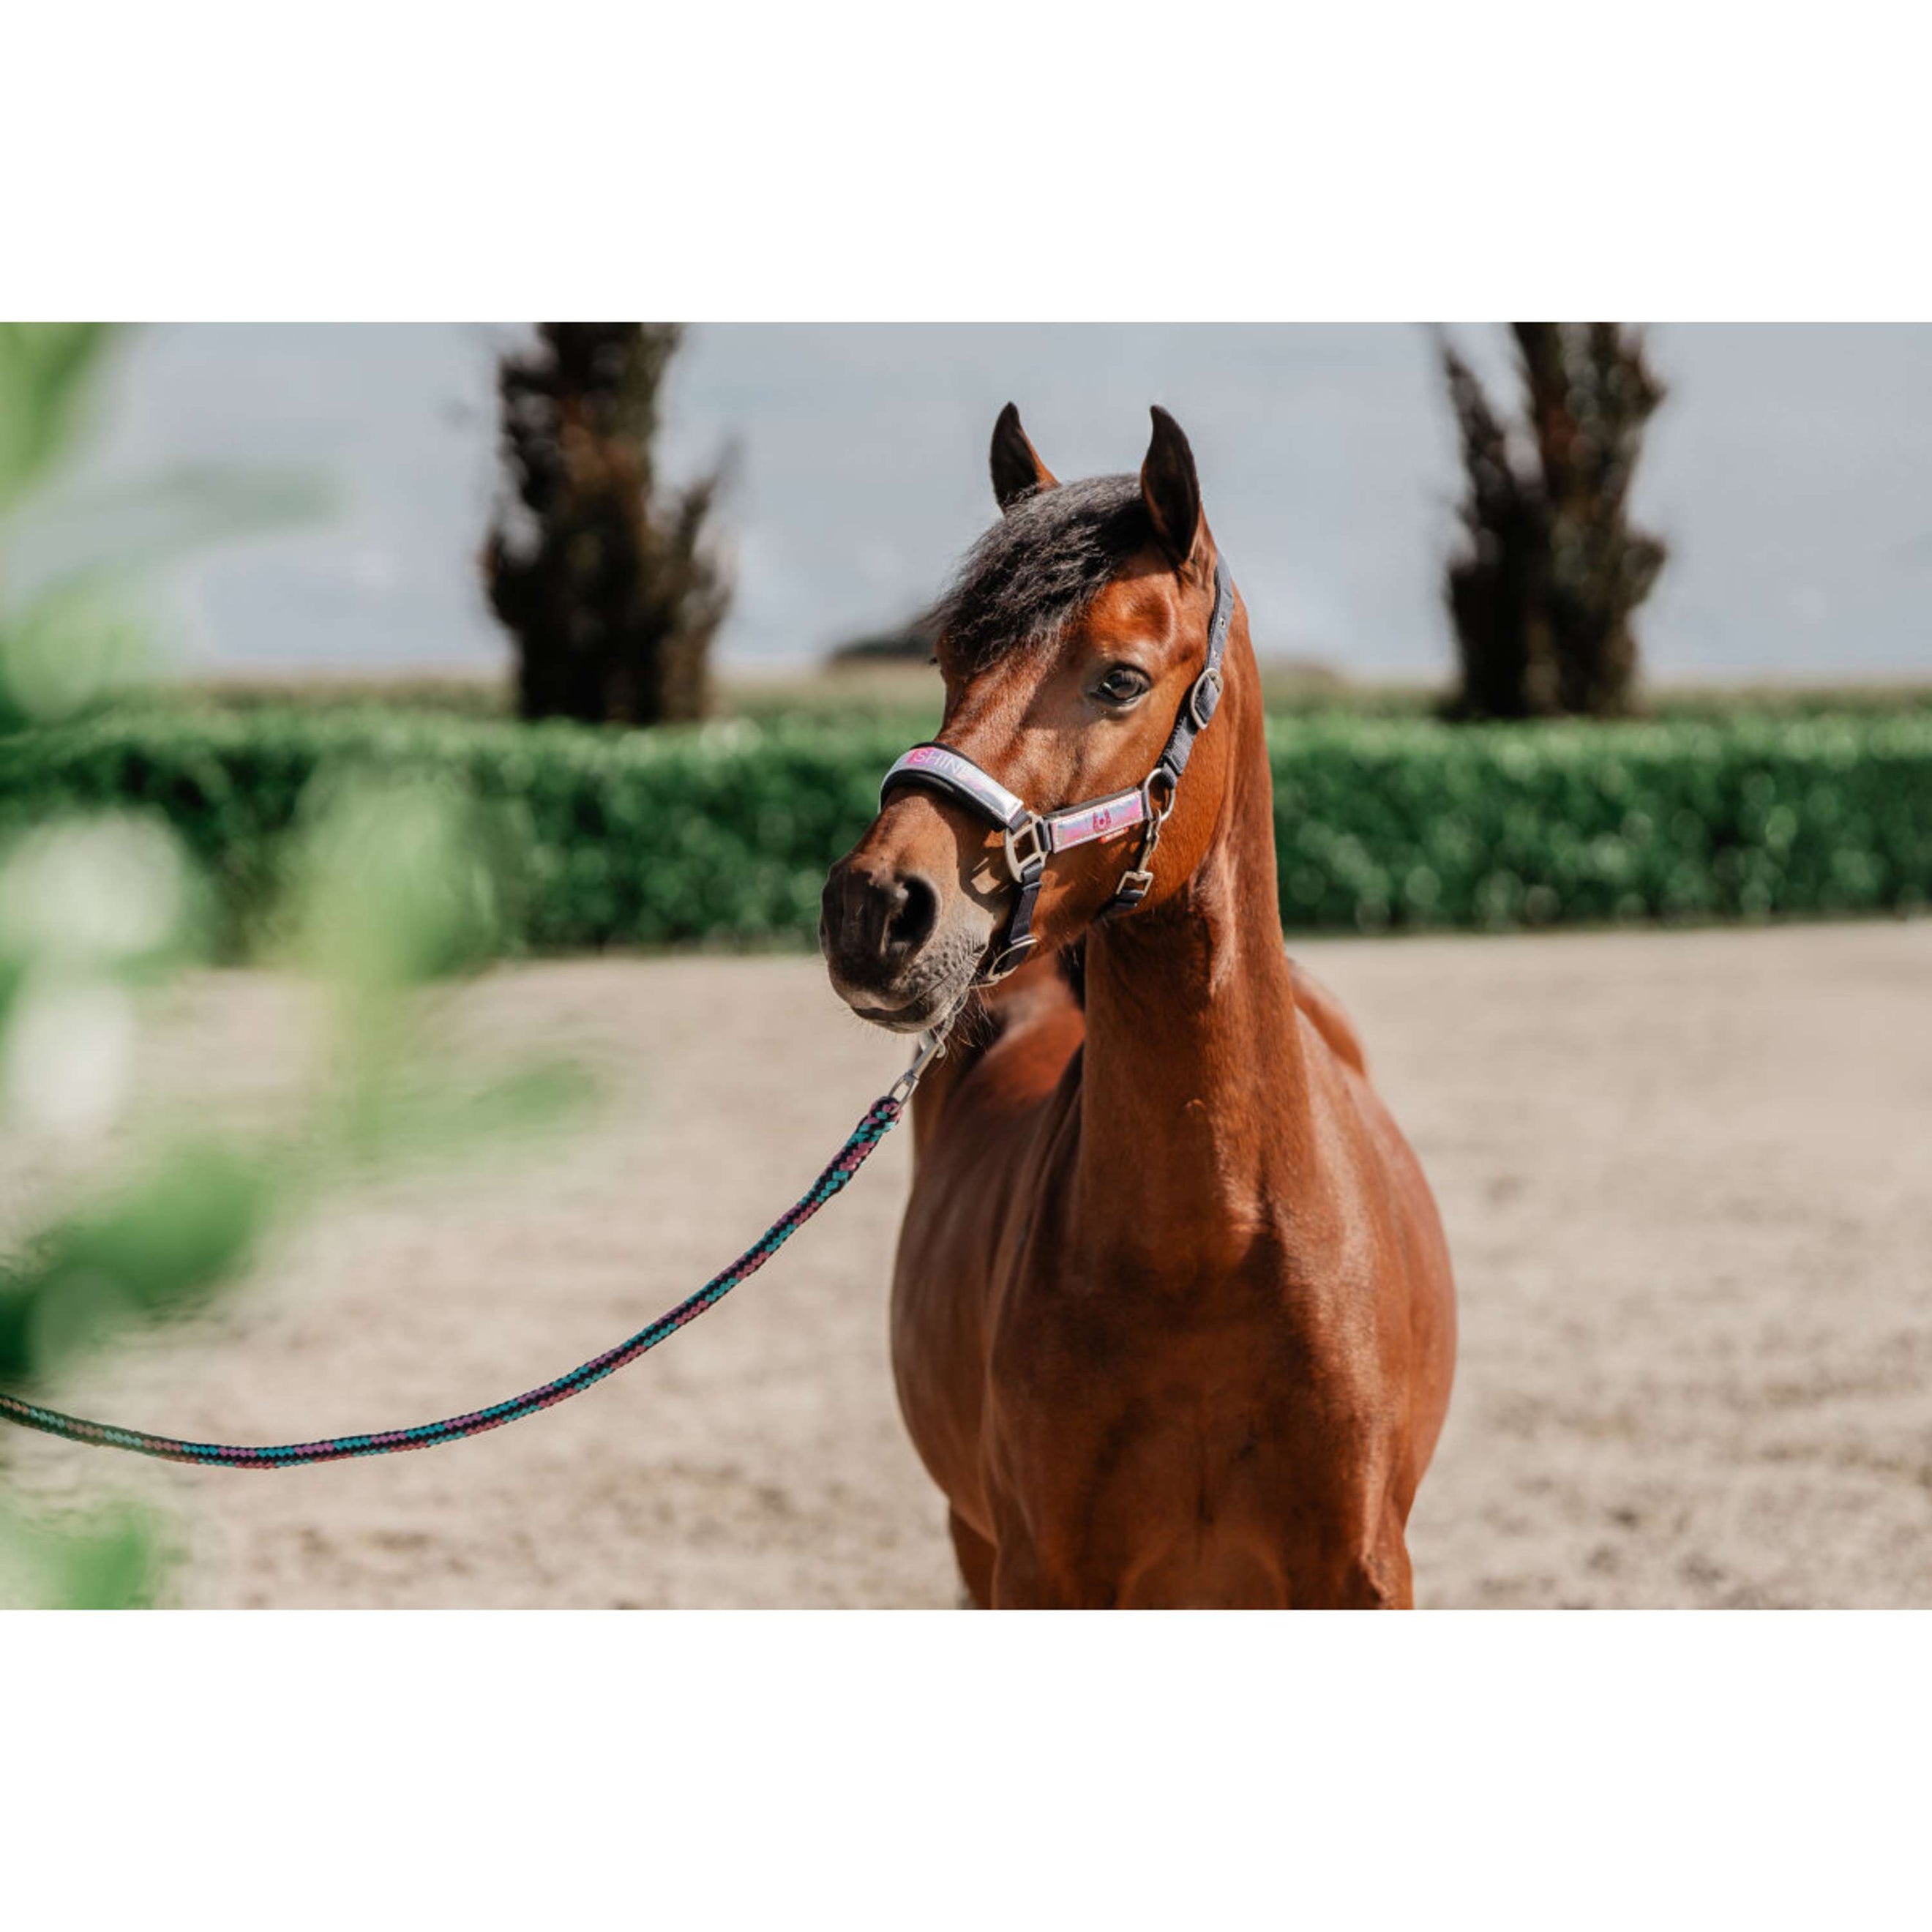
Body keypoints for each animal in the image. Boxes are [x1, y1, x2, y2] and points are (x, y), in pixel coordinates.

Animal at [820, 404, 1456, 1607]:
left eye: (1119, 679)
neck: (1206, 1253)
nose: (873, 909)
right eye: (948, 660)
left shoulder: (1363, 1572)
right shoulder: (1036, 1573)